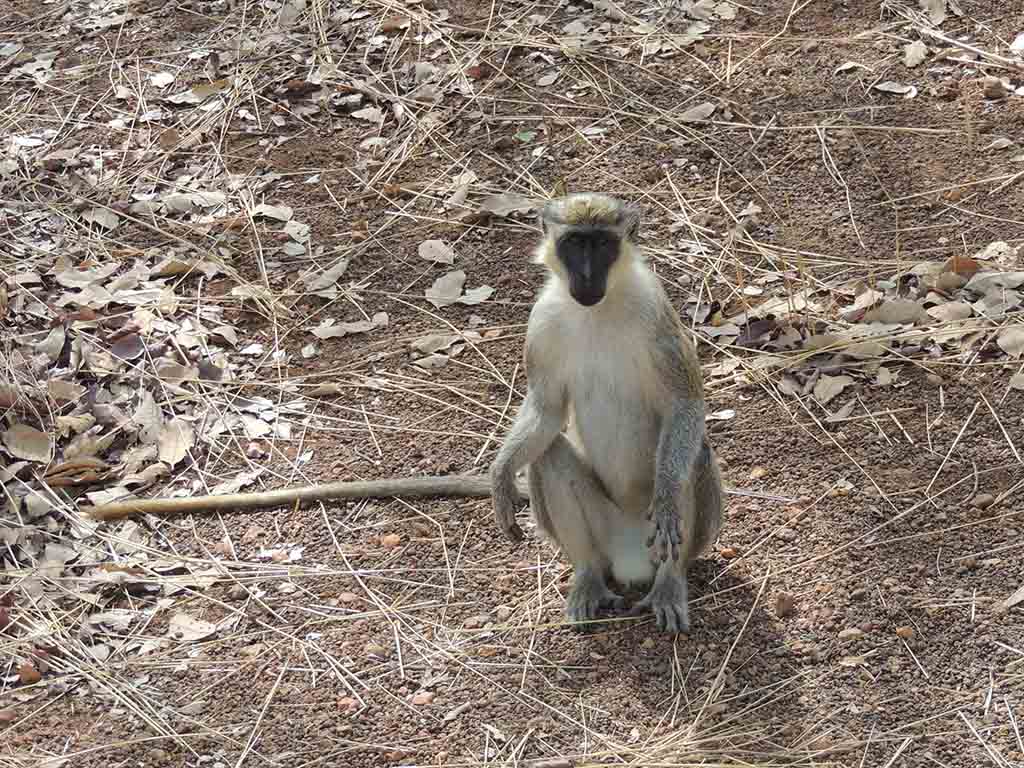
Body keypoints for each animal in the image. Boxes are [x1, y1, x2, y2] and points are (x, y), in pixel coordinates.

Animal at [485, 191, 720, 630]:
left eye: (603, 245)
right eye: (576, 244)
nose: (587, 276)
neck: (598, 309)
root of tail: (630, 561)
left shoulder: (654, 309)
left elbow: (684, 404)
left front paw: (666, 497)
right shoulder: (542, 322)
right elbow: (547, 410)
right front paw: (501, 475)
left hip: (660, 536)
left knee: (695, 452)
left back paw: (668, 583)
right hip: (605, 532)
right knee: (547, 455)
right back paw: (589, 576)